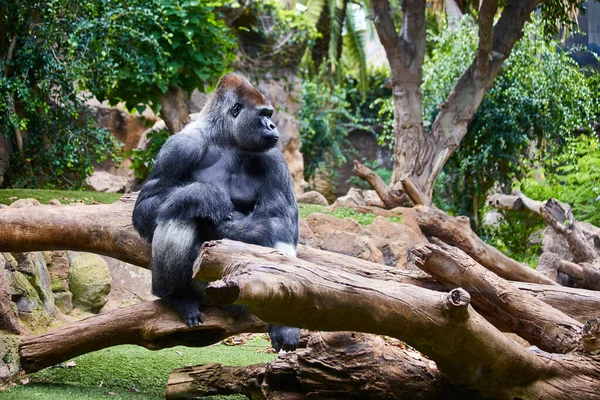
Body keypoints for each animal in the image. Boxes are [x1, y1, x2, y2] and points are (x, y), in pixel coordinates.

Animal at [132, 73, 300, 352]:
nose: (272, 125)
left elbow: (278, 221)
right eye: (263, 114)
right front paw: (203, 195)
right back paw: (177, 297)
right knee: (179, 213)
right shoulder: (180, 148)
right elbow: (146, 206)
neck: (224, 138)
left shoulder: (274, 158)